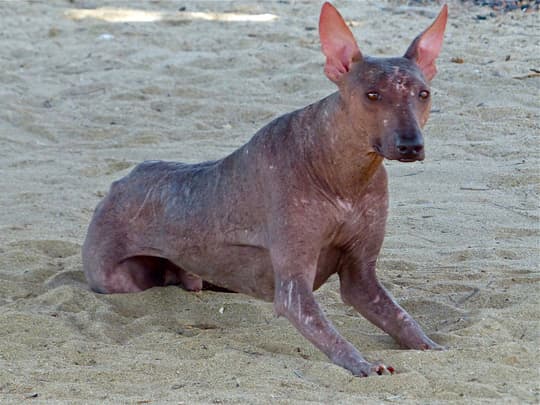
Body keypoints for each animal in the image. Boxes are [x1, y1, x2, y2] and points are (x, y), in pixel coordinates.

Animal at [83, 3, 448, 376]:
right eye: (372, 95)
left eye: (424, 94)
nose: (411, 145)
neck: (344, 176)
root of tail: (117, 184)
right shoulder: (293, 288)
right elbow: (326, 329)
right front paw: (361, 363)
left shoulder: (361, 277)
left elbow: (402, 318)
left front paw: (430, 346)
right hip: (115, 277)